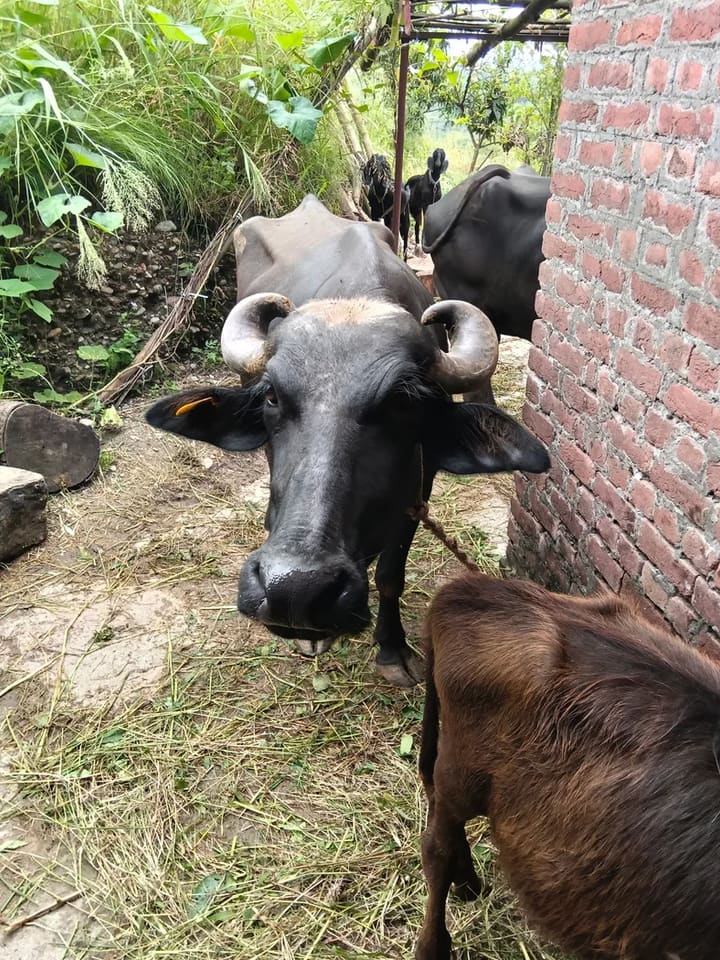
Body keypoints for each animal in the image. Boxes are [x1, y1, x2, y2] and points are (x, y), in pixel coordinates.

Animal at [146, 197, 549, 687]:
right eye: (272, 396)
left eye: (403, 403)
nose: (294, 589)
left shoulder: (417, 490)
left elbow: (391, 575)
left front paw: (392, 649)